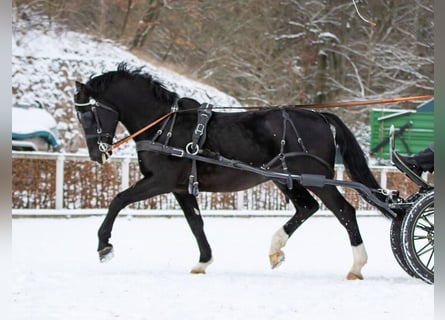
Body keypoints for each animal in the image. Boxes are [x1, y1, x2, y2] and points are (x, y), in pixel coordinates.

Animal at [74, 63, 390, 278]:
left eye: (87, 113)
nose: (96, 155)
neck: (165, 125)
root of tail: (319, 116)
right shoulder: (180, 188)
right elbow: (196, 223)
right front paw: (203, 261)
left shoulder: (159, 181)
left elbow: (118, 200)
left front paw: (104, 245)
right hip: (287, 179)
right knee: (307, 208)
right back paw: (275, 250)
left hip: (318, 180)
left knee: (345, 212)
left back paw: (357, 265)